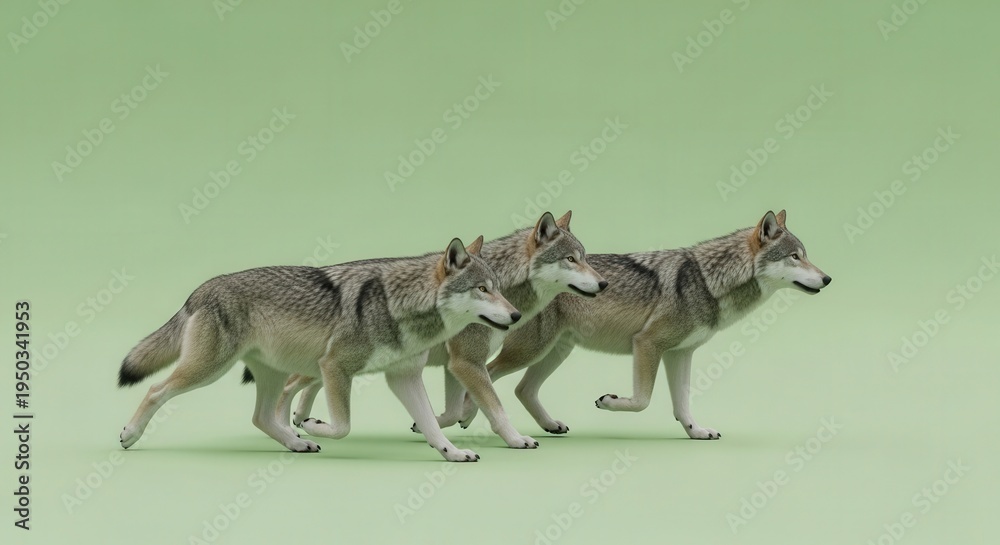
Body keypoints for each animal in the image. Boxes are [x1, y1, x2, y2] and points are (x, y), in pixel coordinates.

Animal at [117, 237, 519, 462]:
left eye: (497, 288)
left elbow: (432, 427)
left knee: (260, 417)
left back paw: (295, 444)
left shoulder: (403, 377)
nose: (516, 315)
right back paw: (129, 434)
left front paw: (454, 454)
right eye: (482, 289)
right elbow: (342, 426)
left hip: (270, 374)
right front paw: (311, 423)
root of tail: (201, 289)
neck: (402, 305)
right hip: (208, 370)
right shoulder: (334, 368)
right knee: (155, 390)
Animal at [275, 211, 608, 448]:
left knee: (308, 383)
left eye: (585, 258)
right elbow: (495, 407)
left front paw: (434, 424)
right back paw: (292, 425)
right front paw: (516, 440)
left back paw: (302, 419)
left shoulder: (454, 365)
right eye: (571, 259)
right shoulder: (466, 362)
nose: (604, 284)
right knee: (293, 382)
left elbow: (452, 410)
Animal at [457, 210, 831, 439]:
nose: (827, 279)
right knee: (489, 374)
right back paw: (464, 418)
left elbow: (683, 404)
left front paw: (696, 432)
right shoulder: (647, 344)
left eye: (805, 255)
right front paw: (608, 401)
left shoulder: (680, 354)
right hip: (531, 350)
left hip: (555, 351)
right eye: (795, 257)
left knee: (522, 389)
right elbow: (642, 401)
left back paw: (548, 425)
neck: (708, 281)